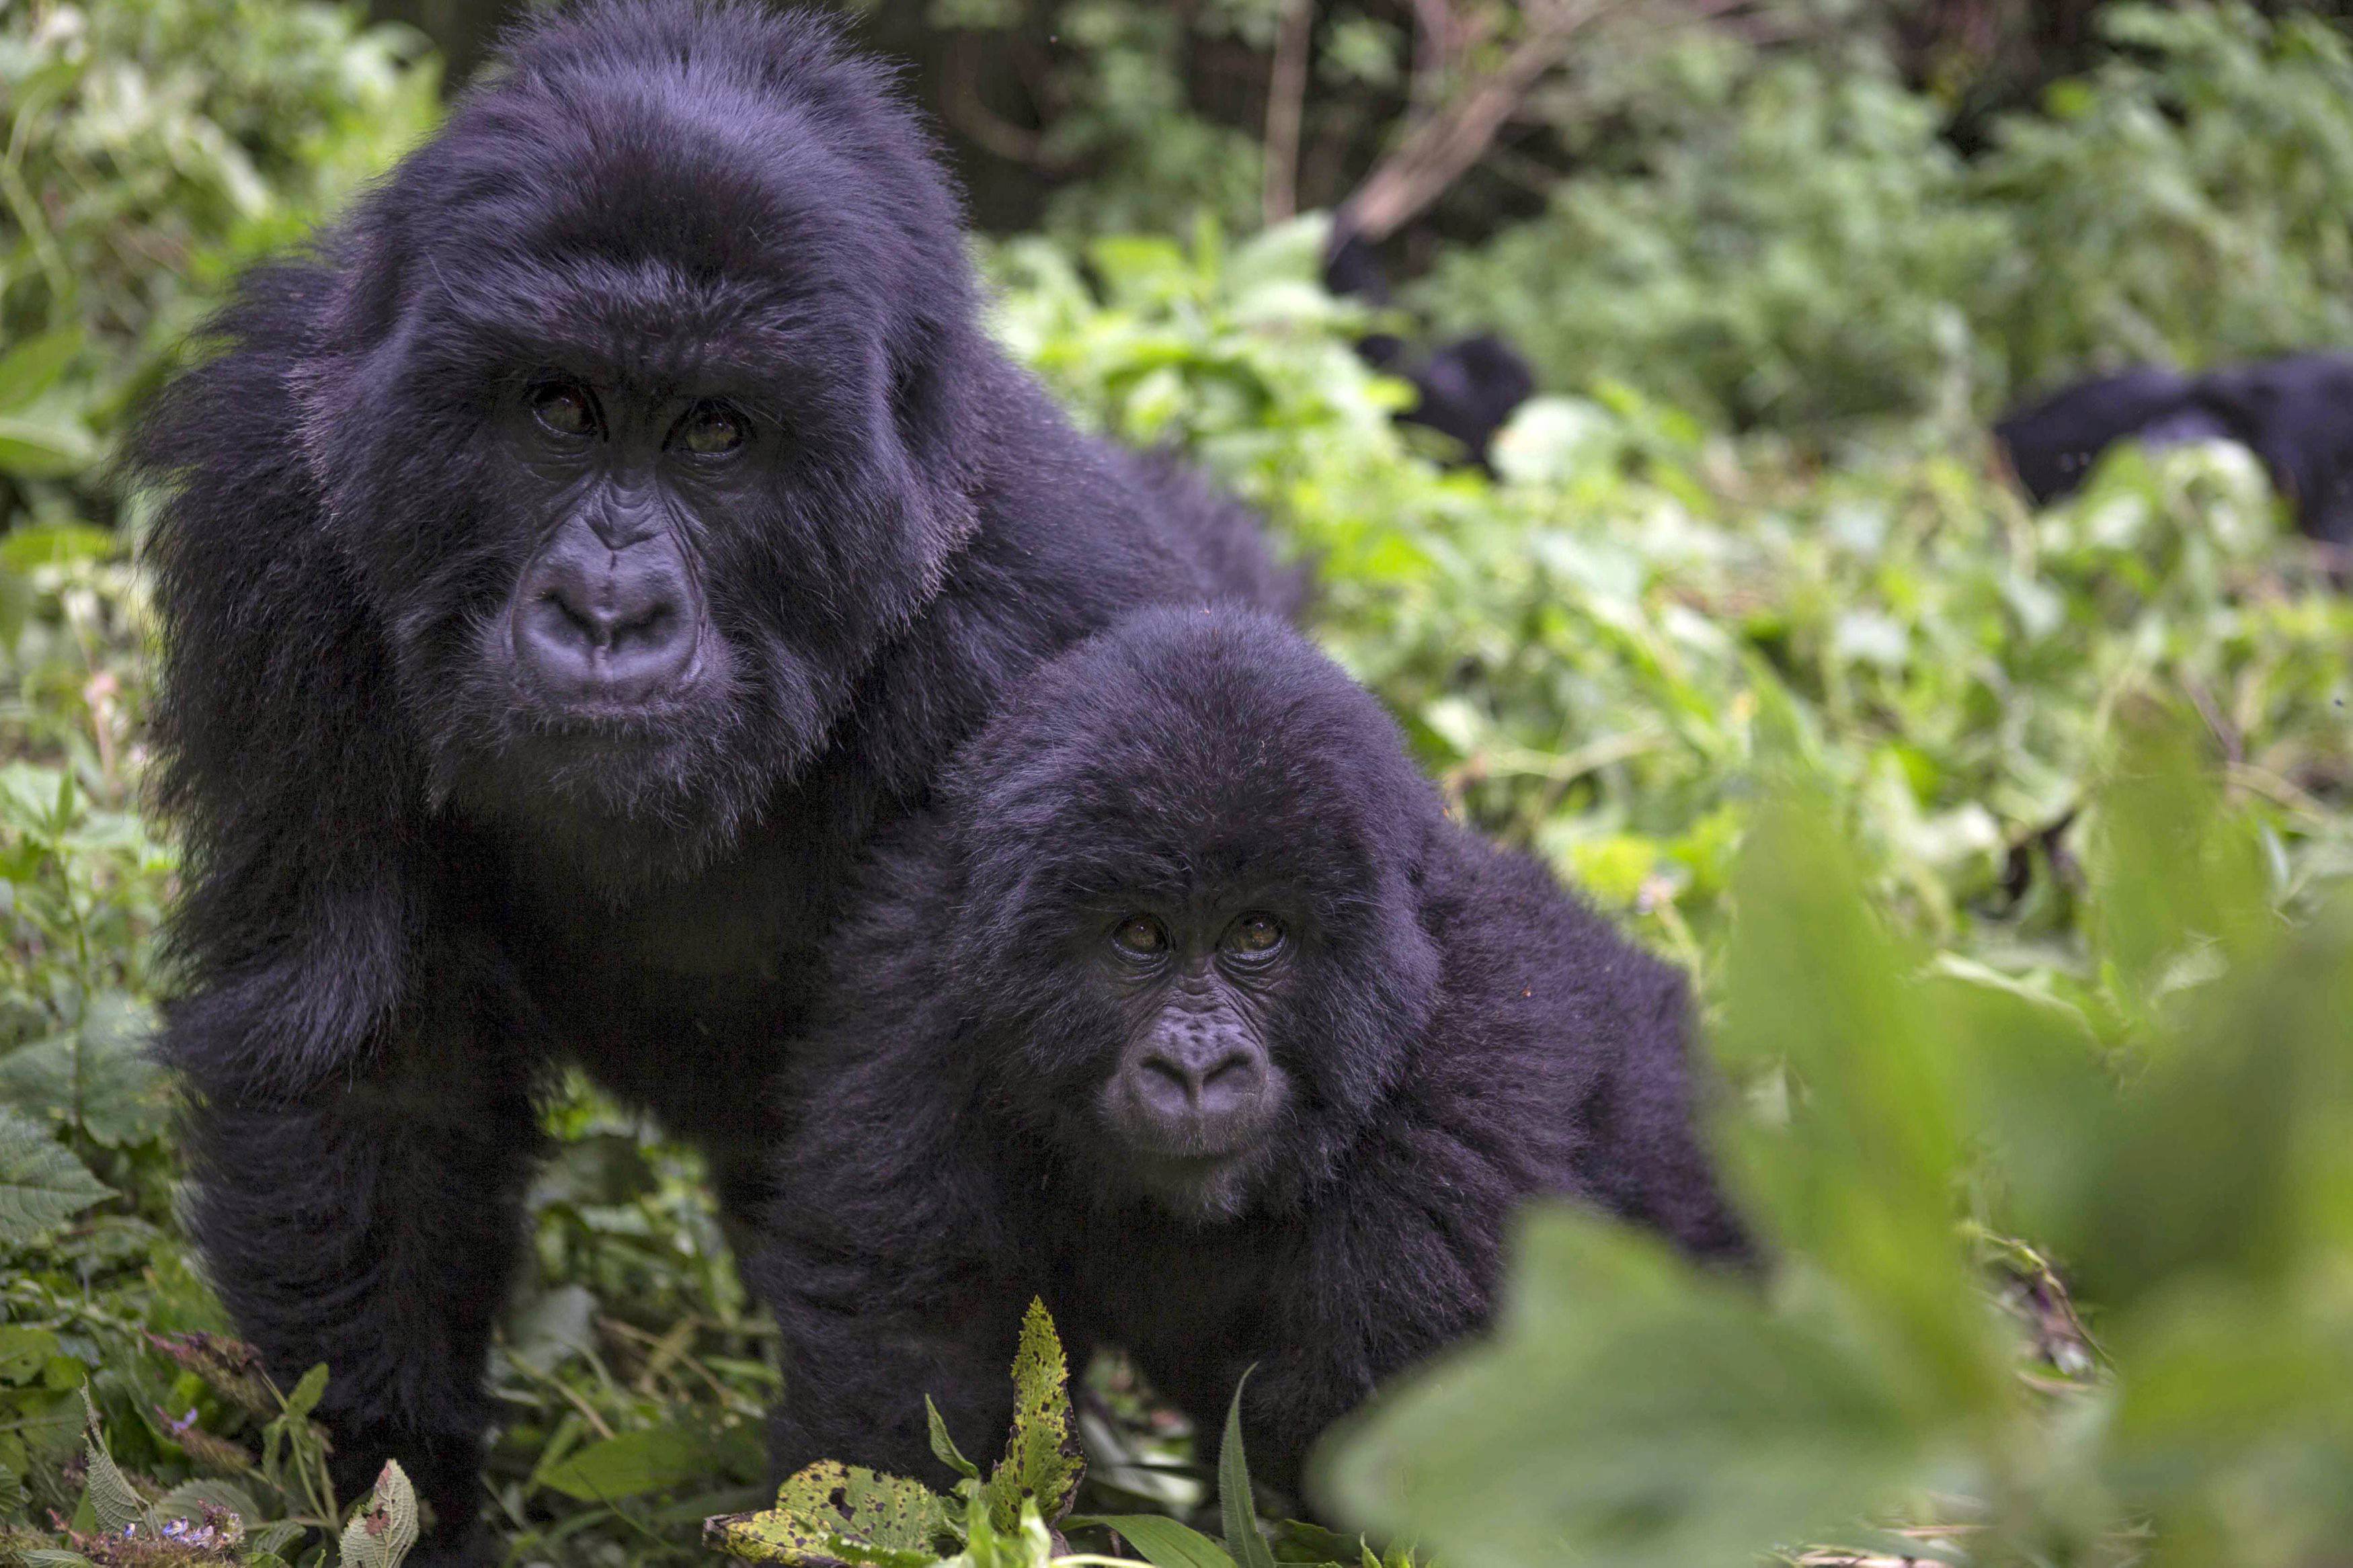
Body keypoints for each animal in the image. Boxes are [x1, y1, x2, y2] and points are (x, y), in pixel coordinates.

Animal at [126, 9, 1299, 1561]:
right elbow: (369, 1067)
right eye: (559, 408)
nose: (607, 612)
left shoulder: (1058, 655)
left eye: (716, 434)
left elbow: (921, 1236)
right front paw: (391, 1484)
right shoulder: (277, 498)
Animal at [753, 606, 1751, 1504]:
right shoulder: (916, 986)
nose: (1195, 1068)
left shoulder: (1479, 1051)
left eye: (1258, 933)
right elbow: (908, 1340)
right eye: (1140, 934)